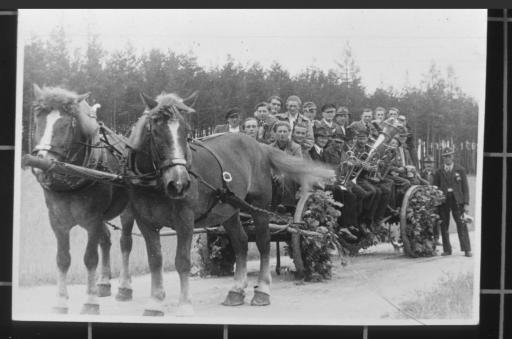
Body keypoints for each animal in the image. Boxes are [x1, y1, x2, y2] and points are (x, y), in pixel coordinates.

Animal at [28, 84, 133, 314]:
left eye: (67, 124)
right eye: (38, 118)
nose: (42, 164)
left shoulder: (92, 219)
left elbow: (90, 258)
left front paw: (90, 301)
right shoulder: (57, 221)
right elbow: (62, 259)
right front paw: (60, 301)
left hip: (128, 211)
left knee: (125, 243)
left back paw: (124, 287)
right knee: (106, 240)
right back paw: (103, 284)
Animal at [123, 90, 332, 316]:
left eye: (186, 131)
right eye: (155, 130)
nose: (179, 184)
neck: (155, 183)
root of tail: (259, 146)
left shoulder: (185, 220)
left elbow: (182, 261)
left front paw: (185, 305)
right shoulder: (145, 222)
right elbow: (155, 260)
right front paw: (154, 303)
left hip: (260, 207)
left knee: (263, 243)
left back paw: (262, 291)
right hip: (229, 210)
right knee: (241, 242)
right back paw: (236, 290)